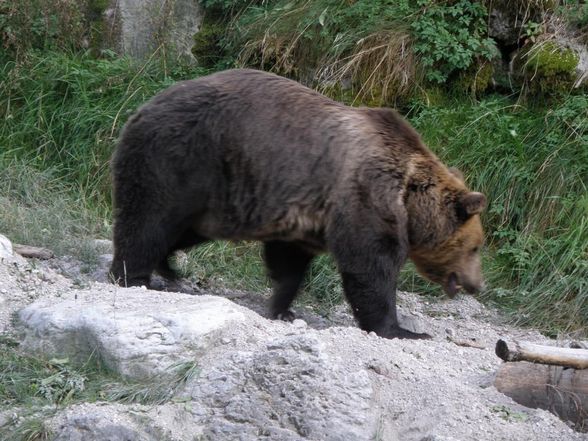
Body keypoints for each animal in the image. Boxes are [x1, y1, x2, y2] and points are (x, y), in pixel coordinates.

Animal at [110, 69, 486, 338]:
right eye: (476, 247)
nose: (477, 284)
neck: (408, 197)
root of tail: (141, 107)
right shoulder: (365, 196)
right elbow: (369, 265)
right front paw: (402, 329)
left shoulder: (302, 217)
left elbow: (289, 262)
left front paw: (282, 307)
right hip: (180, 158)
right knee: (149, 218)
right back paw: (134, 276)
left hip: (214, 198)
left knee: (182, 229)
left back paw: (168, 267)